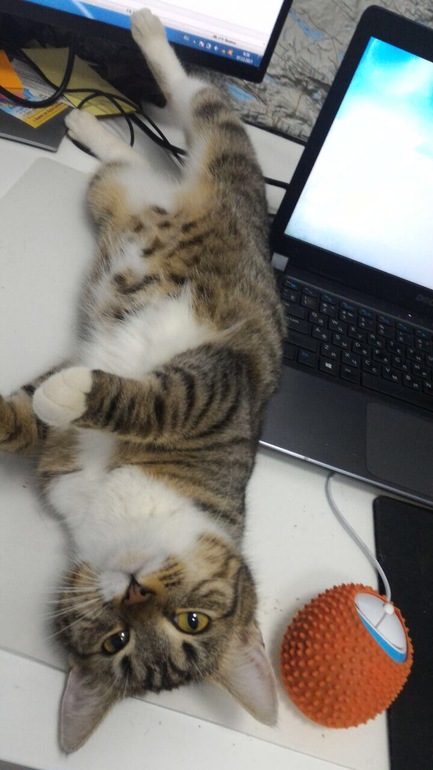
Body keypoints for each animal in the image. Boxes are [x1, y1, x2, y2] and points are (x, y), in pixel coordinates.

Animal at [0, 8, 284, 753]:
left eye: (187, 624)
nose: (132, 587)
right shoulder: (216, 393)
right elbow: (58, 406)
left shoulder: (183, 401)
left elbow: (129, 402)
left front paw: (66, 394)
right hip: (228, 166)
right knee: (198, 104)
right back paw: (146, 37)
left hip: (113, 195)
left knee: (128, 161)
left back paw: (86, 123)